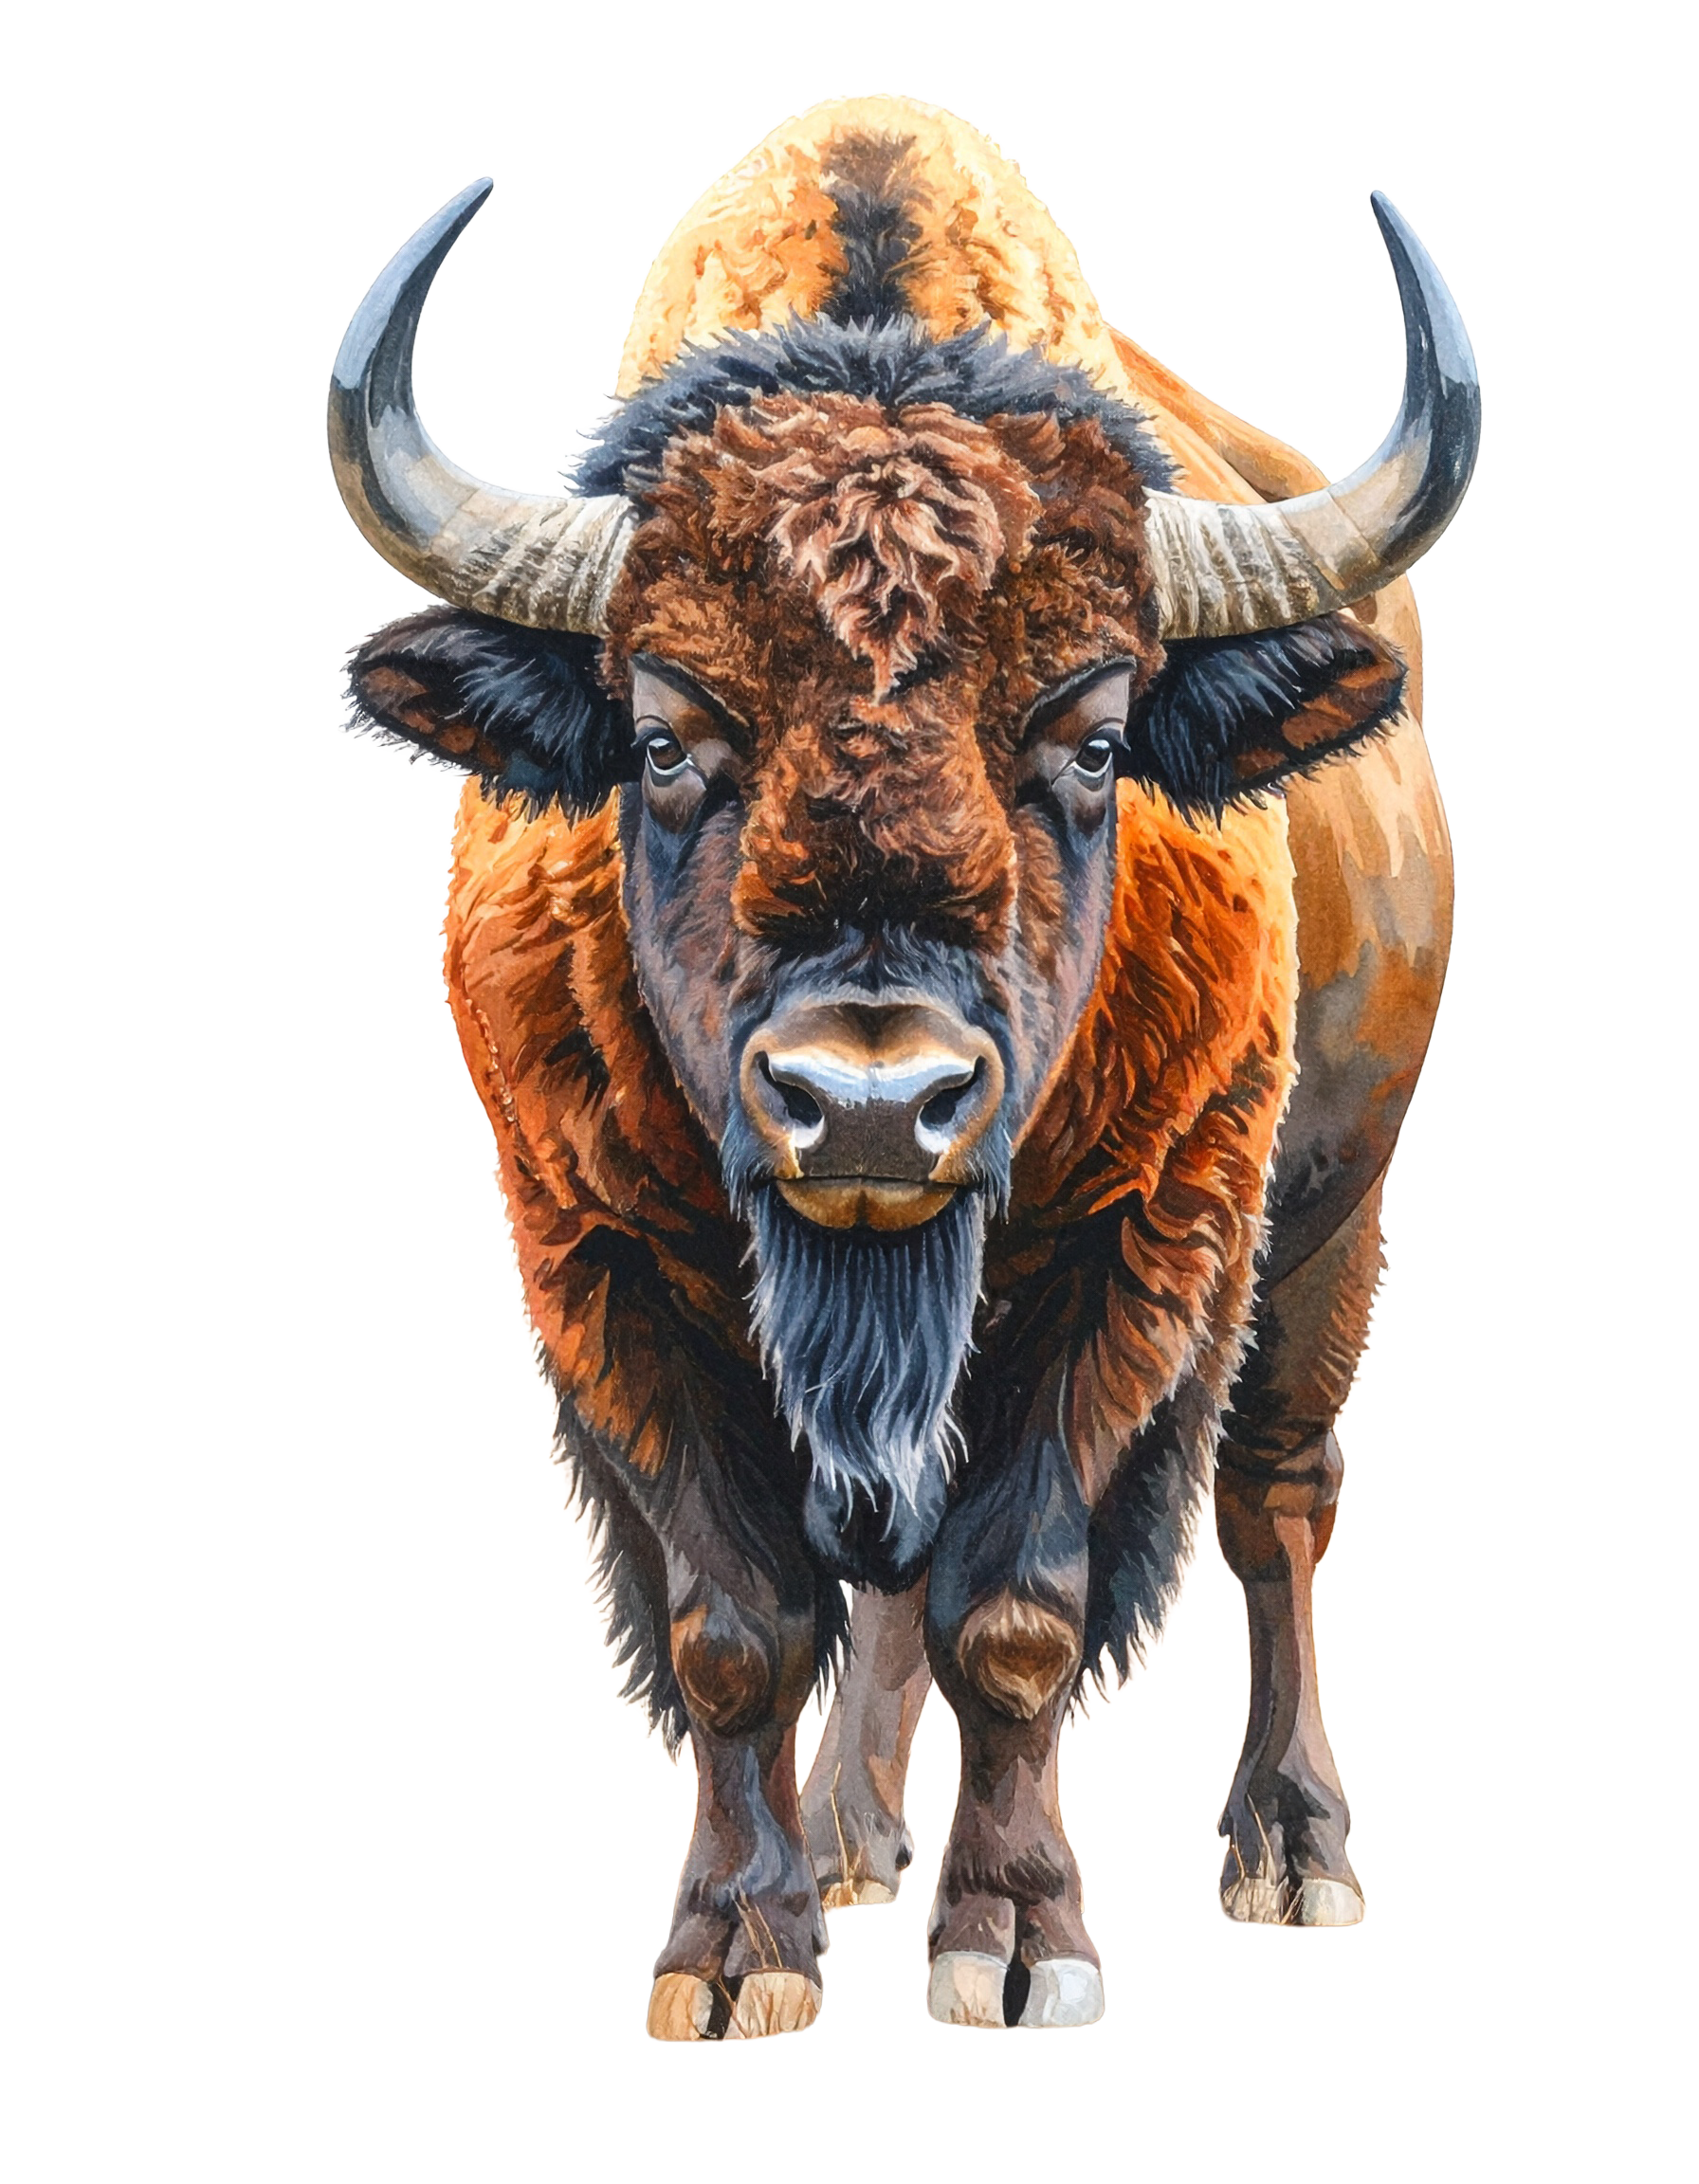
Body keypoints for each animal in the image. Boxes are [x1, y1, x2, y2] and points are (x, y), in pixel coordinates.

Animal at [329, 98, 1477, 2038]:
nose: (870, 1103)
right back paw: (861, 1847)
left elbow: (1011, 1611)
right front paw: (735, 1952)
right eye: (664, 735)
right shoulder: (602, 1262)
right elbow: (741, 1624)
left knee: (1275, 1503)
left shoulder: (1140, 1245)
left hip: (1340, 1201)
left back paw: (1293, 1852)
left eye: (1095, 739)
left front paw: (1014, 1943)